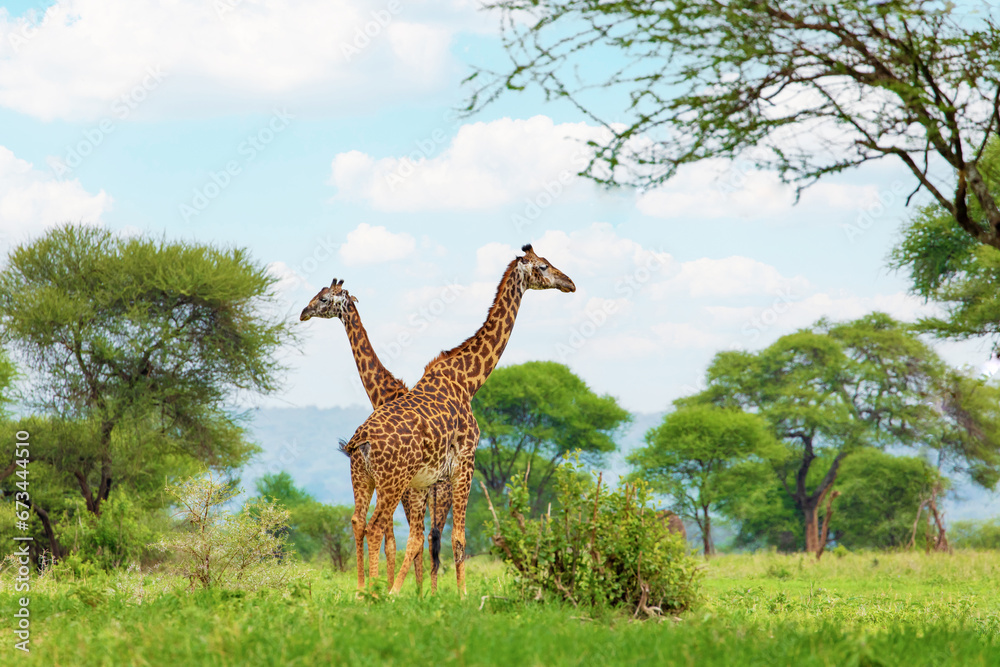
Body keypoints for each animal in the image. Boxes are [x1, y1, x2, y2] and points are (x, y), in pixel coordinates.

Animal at [299, 278, 453, 592]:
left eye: (324, 299)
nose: (303, 313)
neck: (383, 393)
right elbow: (391, 538)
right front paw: (391, 587)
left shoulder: (398, 483)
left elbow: (391, 538)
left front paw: (386, 588)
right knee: (434, 536)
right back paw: (429, 591)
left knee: (432, 535)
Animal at [340, 244, 575, 596]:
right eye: (544, 266)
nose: (569, 283)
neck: (468, 380)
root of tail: (361, 440)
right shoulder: (466, 461)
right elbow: (458, 537)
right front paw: (463, 596)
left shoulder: (433, 478)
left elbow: (430, 538)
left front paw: (430, 594)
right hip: (393, 481)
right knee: (378, 528)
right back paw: (378, 592)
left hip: (363, 477)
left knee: (361, 523)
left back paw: (364, 591)